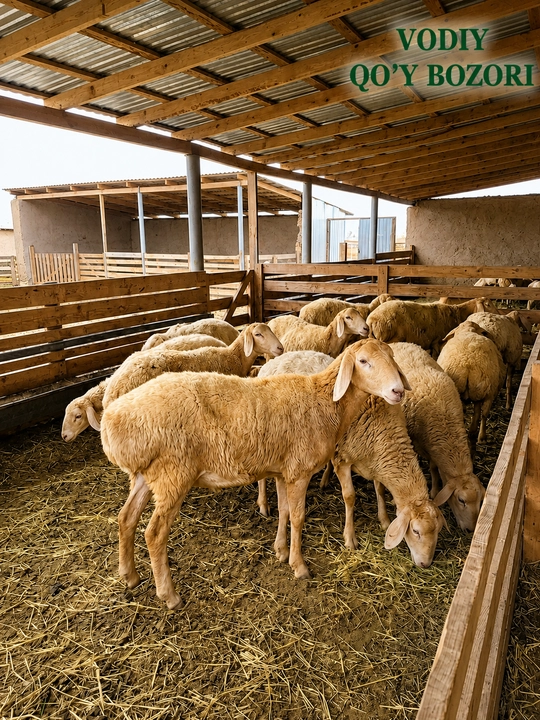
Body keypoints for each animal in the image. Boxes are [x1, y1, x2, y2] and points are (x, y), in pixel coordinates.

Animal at [100, 339, 410, 609]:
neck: (325, 402)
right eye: (363, 361)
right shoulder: (299, 471)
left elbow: (284, 511)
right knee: (154, 534)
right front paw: (299, 566)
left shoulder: (284, 470)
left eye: (392, 357)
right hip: (173, 475)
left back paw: (129, 576)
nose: (398, 391)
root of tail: (112, 421)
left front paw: (281, 550)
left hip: (146, 474)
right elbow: (298, 517)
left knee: (126, 518)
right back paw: (169, 595)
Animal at [321, 393, 446, 567]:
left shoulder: (376, 462)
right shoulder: (343, 460)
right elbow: (350, 497)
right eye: (416, 531)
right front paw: (350, 538)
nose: (425, 564)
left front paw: (384, 520)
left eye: (439, 529)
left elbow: (380, 490)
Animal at [389, 342, 485, 532]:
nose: (471, 530)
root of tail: (397, 342)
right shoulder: (422, 443)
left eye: (480, 500)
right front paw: (434, 491)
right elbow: (433, 467)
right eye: (461, 500)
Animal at [436, 321, 506, 453]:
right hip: (487, 391)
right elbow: (482, 414)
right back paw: (481, 438)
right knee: (484, 414)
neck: (468, 330)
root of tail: (467, 363)